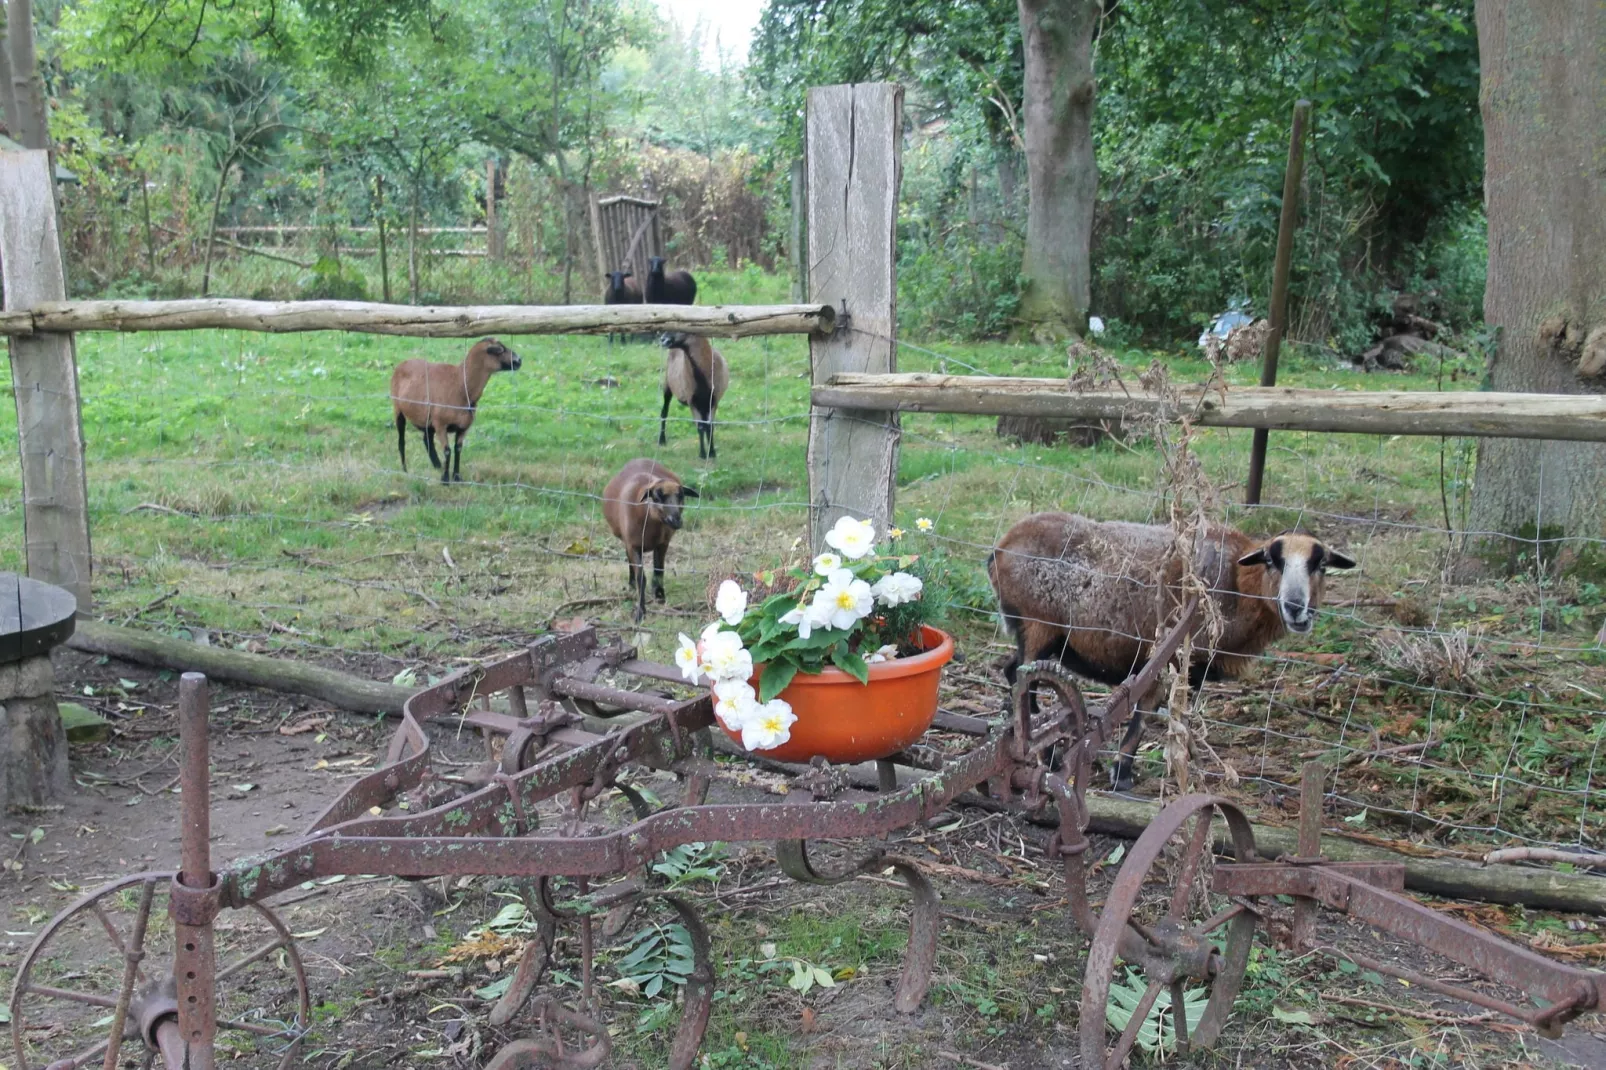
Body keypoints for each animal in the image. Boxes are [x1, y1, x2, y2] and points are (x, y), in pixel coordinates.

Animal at [388, 337, 520, 481]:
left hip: (427, 418)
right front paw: (445, 479)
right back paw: (405, 470)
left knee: (427, 440)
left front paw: (456, 477)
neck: (461, 385)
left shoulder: (463, 427)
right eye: (500, 350)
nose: (519, 361)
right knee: (402, 441)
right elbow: (447, 451)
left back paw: (437, 465)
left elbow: (458, 449)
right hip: (398, 409)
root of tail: (402, 363)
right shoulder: (440, 424)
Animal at [603, 456, 700, 620]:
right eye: (656, 496)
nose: (676, 521)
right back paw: (631, 584)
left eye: (681, 496)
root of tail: (640, 459)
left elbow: (659, 572)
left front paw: (660, 597)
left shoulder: (662, 543)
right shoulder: (633, 545)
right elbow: (641, 578)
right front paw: (640, 612)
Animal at [989, 507, 1355, 784]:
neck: (1237, 585)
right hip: (1038, 626)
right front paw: (1124, 772)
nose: (1296, 608)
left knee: (1012, 672)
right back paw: (1046, 755)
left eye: (1321, 565)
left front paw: (1188, 760)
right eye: (1271, 561)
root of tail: (1000, 547)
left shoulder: (1193, 669)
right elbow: (1149, 712)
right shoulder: (1172, 658)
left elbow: (1181, 714)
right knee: (1025, 682)